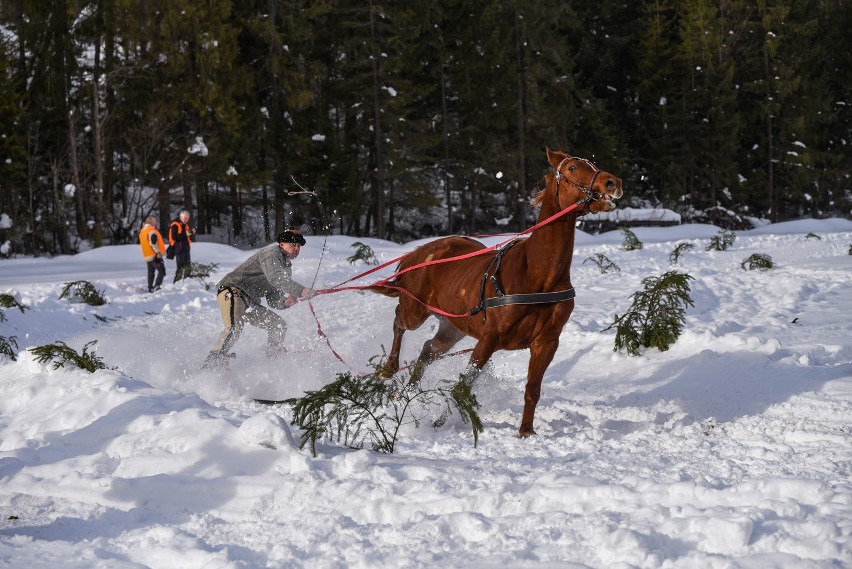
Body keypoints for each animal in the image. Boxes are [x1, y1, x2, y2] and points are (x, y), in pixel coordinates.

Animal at [370, 146, 624, 434]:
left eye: (591, 163)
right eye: (571, 168)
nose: (612, 182)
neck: (537, 274)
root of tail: (423, 251)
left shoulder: (547, 342)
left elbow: (531, 390)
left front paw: (526, 432)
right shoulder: (490, 337)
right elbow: (461, 388)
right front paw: (442, 420)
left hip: (452, 328)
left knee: (428, 350)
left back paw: (405, 393)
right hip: (417, 311)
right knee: (399, 321)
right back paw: (389, 369)